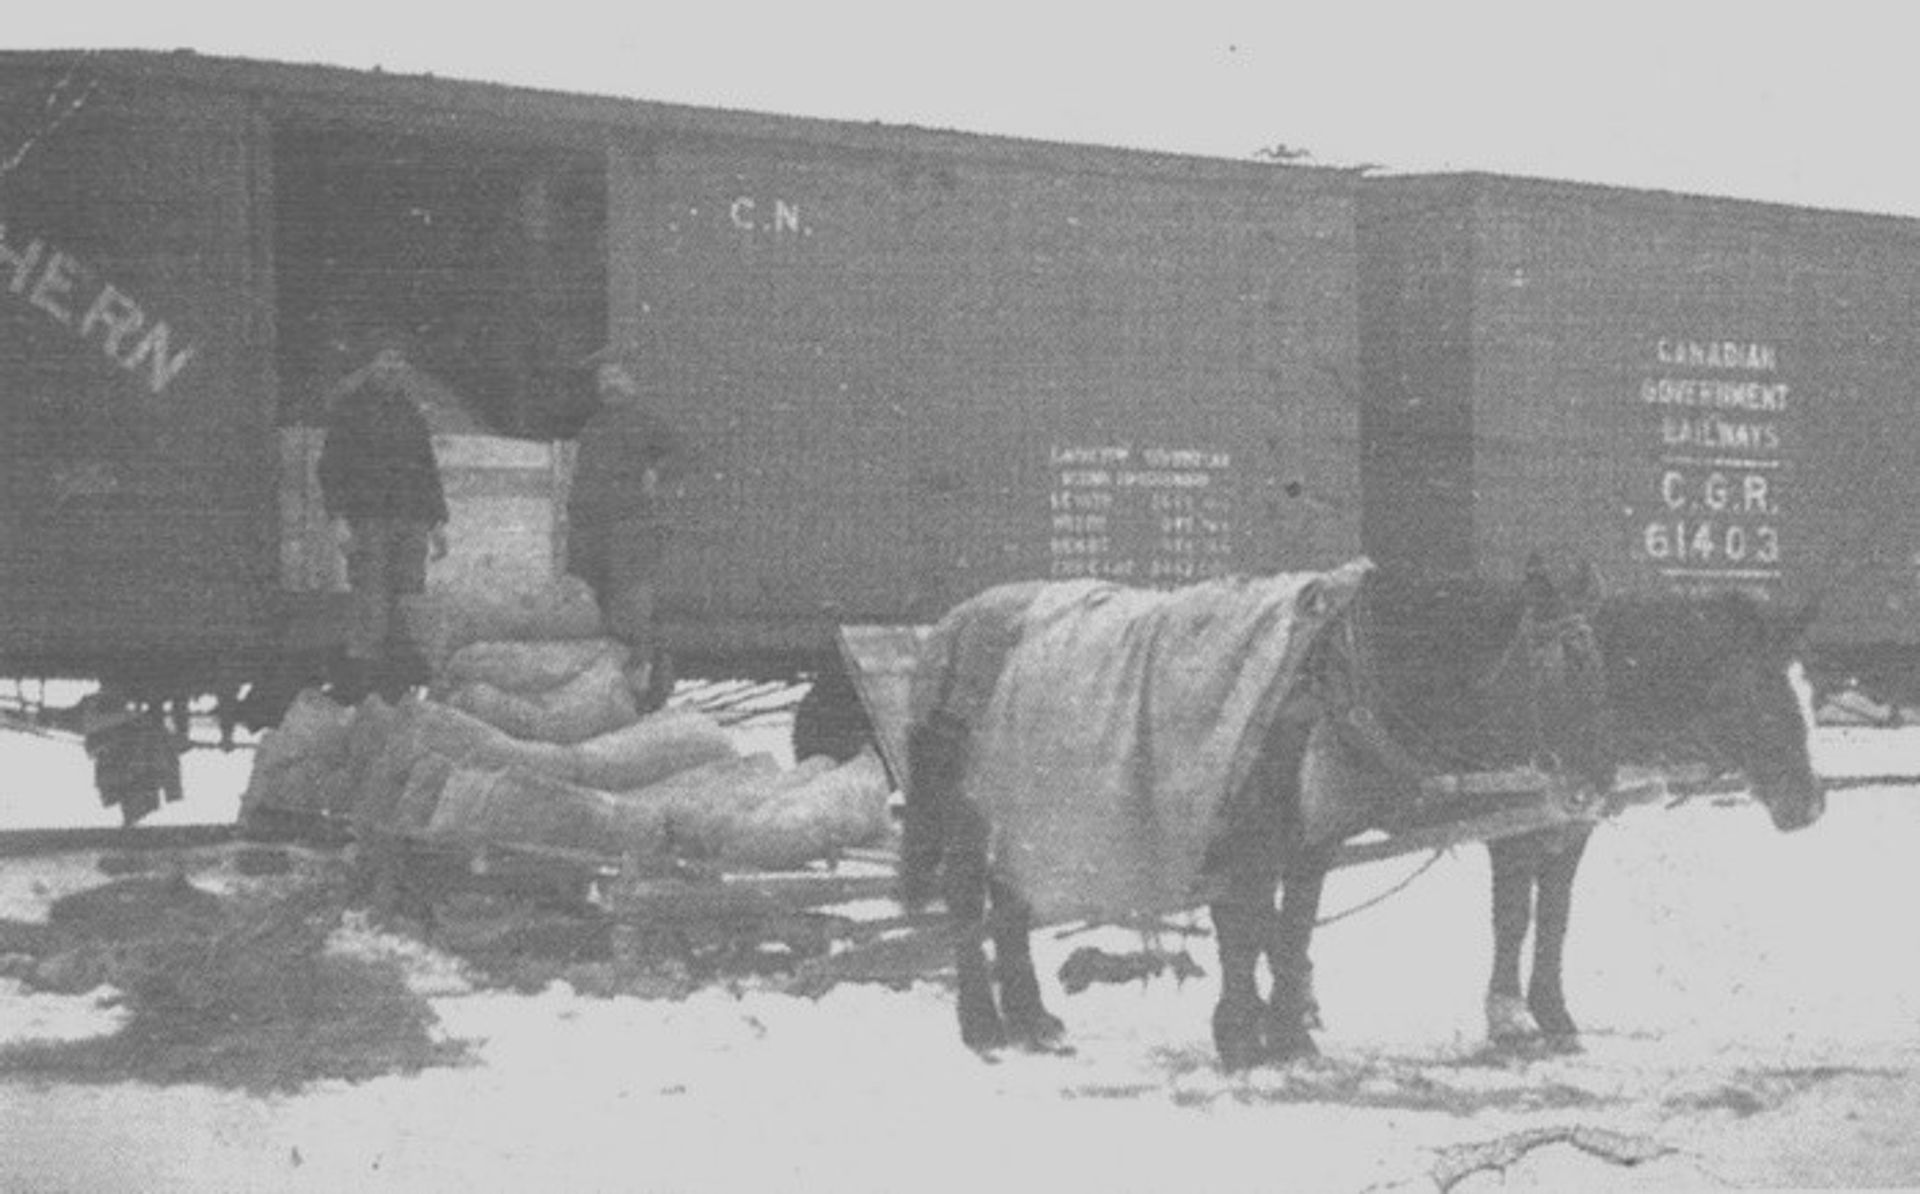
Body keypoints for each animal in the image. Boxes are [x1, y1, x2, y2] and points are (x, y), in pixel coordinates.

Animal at [910, 560, 1374, 925]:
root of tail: (948, 627)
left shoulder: (1305, 851)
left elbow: (1289, 941)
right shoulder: (1241, 851)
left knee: (1007, 902)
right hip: (967, 811)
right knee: (966, 899)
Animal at [1474, 587, 1820, 1044]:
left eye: (1807, 693)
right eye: (1761, 700)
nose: (1811, 804)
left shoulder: (1571, 826)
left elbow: (1555, 915)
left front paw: (1552, 1011)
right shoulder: (1510, 827)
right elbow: (1513, 916)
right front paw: (1507, 1015)